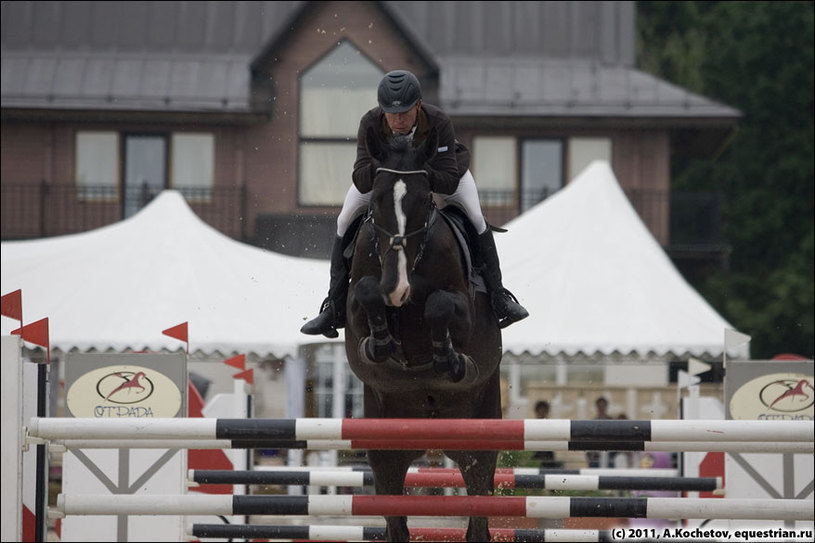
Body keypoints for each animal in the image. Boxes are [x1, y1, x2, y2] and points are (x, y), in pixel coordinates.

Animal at [344, 129, 504, 543]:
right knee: (394, 521)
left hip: (477, 442)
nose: (397, 288)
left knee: (478, 510)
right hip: (386, 451)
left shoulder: (465, 312)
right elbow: (366, 294)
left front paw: (450, 360)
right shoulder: (355, 307)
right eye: (377, 199)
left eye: (422, 200)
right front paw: (380, 342)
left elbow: (439, 307)